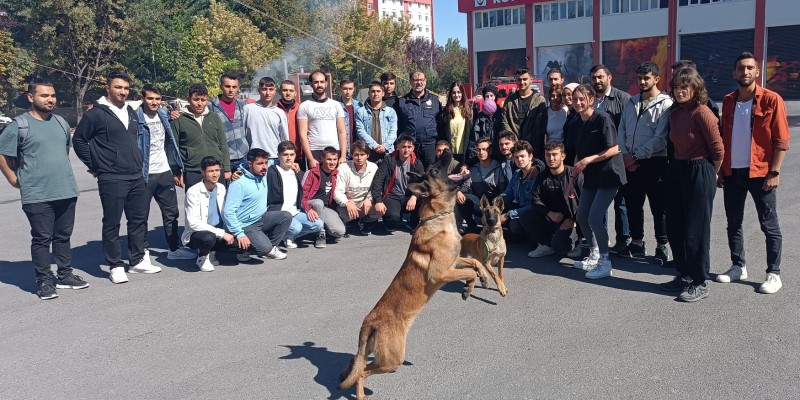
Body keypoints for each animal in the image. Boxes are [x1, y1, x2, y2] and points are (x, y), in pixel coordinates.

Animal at [340, 152, 490, 398]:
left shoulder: (454, 262)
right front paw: (468, 288)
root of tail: (369, 321)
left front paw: (484, 277)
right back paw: (361, 395)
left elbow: (475, 263)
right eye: (435, 170)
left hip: (378, 355)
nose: (447, 152)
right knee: (362, 372)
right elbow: (469, 271)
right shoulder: (440, 274)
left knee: (356, 363)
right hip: (392, 360)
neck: (438, 217)